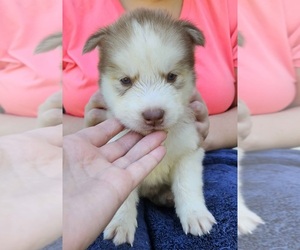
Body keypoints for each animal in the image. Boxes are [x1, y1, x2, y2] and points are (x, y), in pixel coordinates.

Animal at [83, 8, 217, 245]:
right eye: (125, 80)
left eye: (172, 76)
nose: (154, 115)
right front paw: (121, 222)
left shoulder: (189, 150)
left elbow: (187, 184)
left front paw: (195, 214)